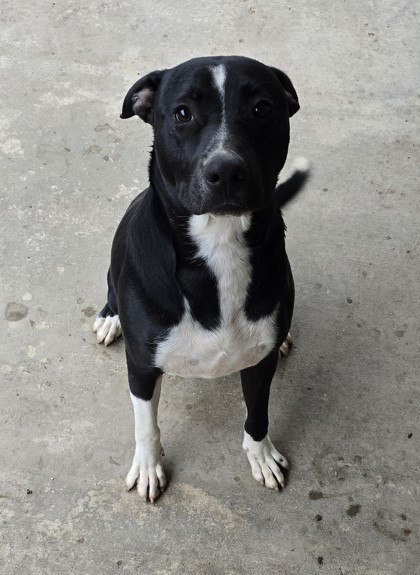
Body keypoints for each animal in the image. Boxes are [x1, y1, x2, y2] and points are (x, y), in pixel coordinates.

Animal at [93, 56, 308, 502]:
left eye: (262, 108)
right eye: (182, 113)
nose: (225, 171)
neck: (218, 244)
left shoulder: (259, 365)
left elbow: (257, 415)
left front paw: (261, 455)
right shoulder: (141, 367)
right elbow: (146, 424)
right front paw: (148, 467)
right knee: (110, 292)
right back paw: (109, 318)